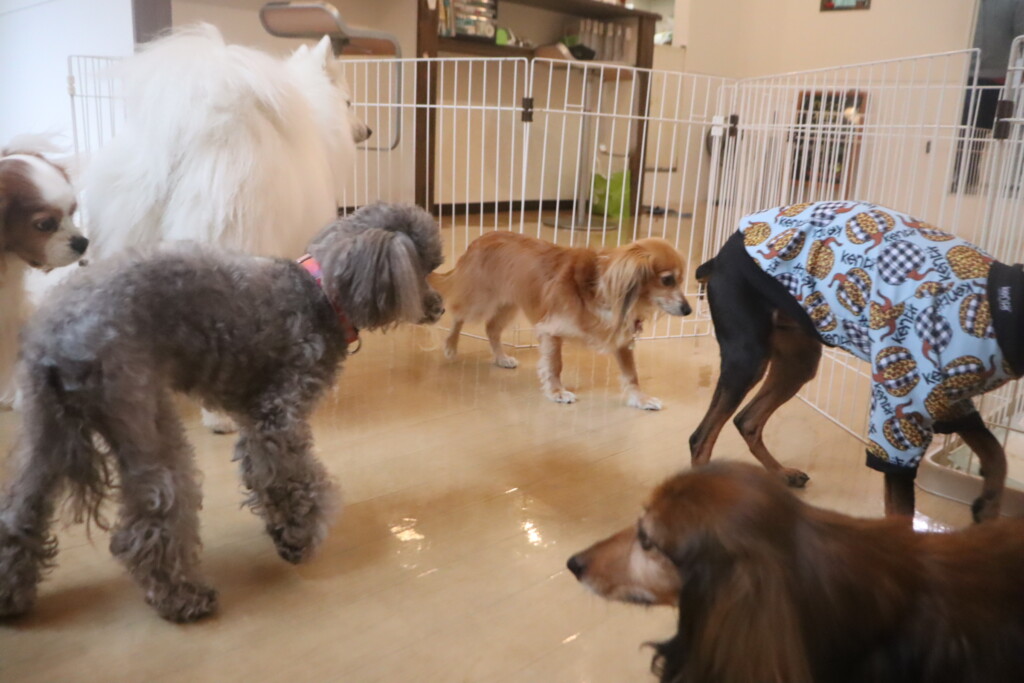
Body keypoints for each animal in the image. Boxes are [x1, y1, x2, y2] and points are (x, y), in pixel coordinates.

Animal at [0, 203, 443, 622]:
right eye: (424, 269)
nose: (438, 308)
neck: (321, 292)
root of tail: (57, 342)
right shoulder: (277, 419)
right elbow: (292, 480)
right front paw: (297, 537)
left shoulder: (256, 423)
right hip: (142, 419)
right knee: (151, 517)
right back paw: (183, 598)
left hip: (46, 434)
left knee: (21, 509)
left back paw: (13, 595)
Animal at [432, 232, 691, 409]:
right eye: (667, 280)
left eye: (681, 281)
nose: (688, 309)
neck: (598, 290)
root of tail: (479, 240)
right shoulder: (551, 331)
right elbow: (555, 365)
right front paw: (557, 392)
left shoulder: (621, 341)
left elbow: (631, 374)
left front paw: (641, 399)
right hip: (480, 301)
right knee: (457, 314)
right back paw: (450, 346)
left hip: (508, 304)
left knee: (491, 328)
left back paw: (501, 358)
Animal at [690, 201, 1023, 520]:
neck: (1000, 308)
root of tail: (718, 259)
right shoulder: (903, 415)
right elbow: (901, 512)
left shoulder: (950, 399)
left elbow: (996, 453)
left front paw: (989, 507)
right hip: (748, 358)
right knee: (701, 438)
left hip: (798, 360)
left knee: (747, 420)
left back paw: (783, 474)